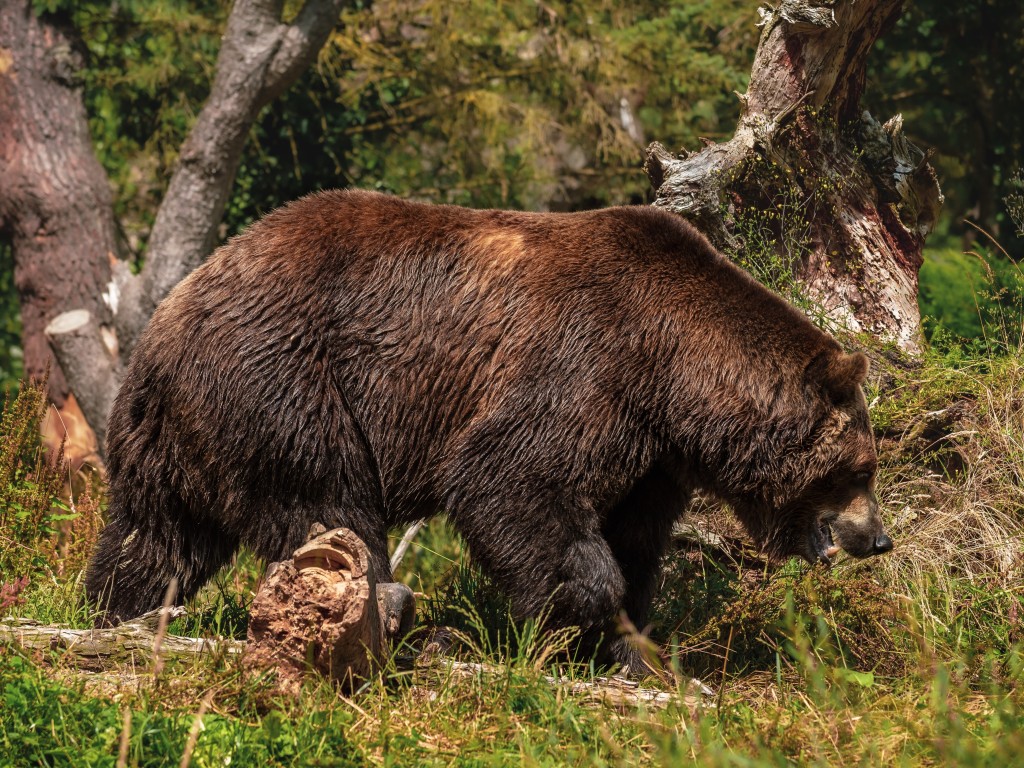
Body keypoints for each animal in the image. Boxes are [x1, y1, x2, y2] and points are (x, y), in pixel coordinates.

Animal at [83, 191, 892, 667]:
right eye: (859, 470)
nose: (877, 538)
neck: (675, 371)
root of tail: (165, 321)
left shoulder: (652, 454)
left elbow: (634, 538)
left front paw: (633, 646)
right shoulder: (587, 361)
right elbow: (511, 478)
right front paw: (569, 620)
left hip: (178, 436)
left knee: (154, 537)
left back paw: (112, 612)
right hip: (285, 382)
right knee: (329, 506)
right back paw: (391, 613)